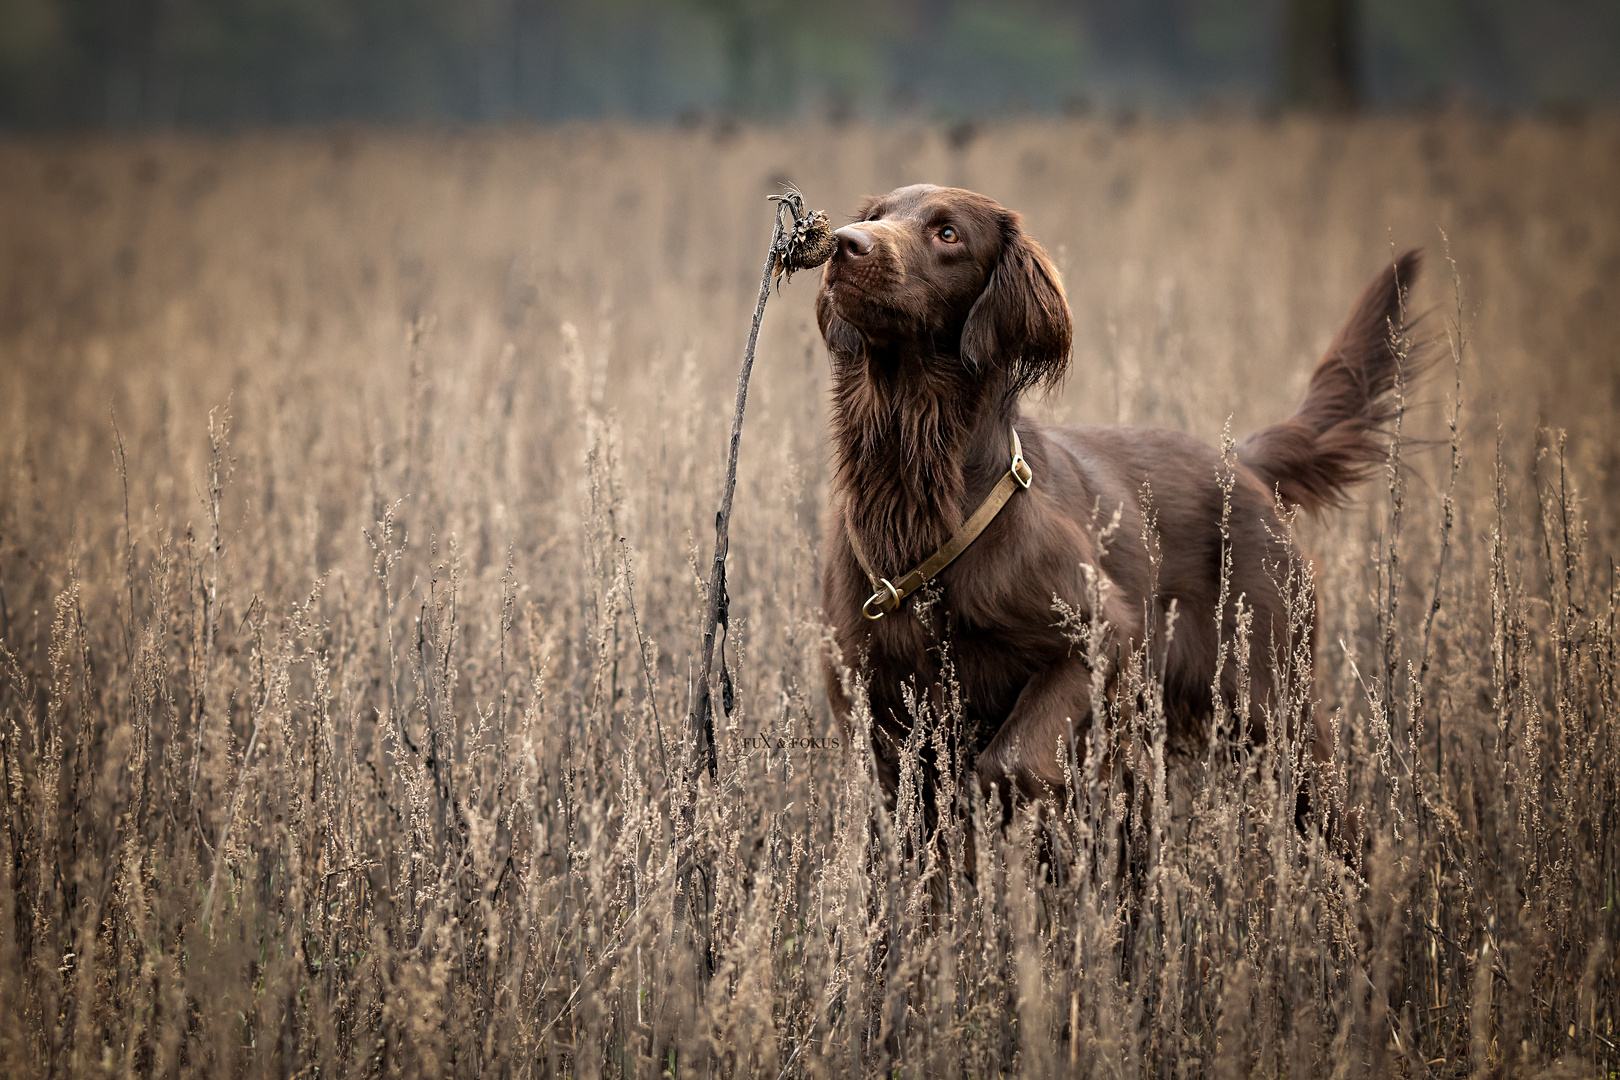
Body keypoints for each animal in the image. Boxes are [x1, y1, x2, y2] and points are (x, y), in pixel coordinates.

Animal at [822, 183, 1419, 809]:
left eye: (947, 233)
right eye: (876, 216)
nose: (843, 243)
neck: (913, 485)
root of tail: (1245, 465)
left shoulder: (1103, 636)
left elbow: (1008, 761)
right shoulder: (868, 699)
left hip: (1275, 700)